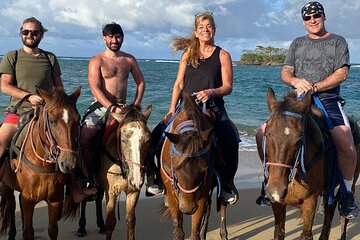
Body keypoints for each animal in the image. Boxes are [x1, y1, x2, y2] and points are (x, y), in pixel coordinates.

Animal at [0, 86, 81, 240]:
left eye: (77, 120)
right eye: (52, 121)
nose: (69, 163)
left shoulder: (55, 200)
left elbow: (53, 230)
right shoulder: (28, 200)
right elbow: (28, 232)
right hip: (6, 186)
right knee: (11, 205)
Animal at [99, 105, 153, 240]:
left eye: (148, 140)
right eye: (123, 140)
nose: (137, 179)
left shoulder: (133, 191)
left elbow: (130, 220)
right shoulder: (111, 191)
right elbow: (110, 222)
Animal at [160, 93, 228, 240]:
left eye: (204, 169)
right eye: (176, 169)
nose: (187, 209)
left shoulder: (201, 196)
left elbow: (195, 232)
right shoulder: (173, 197)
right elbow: (178, 232)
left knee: (221, 206)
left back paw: (222, 233)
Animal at [262, 88, 360, 240]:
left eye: (299, 139)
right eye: (266, 134)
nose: (276, 190)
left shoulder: (310, 200)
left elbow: (306, 234)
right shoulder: (277, 204)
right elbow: (279, 233)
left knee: (343, 216)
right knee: (330, 209)